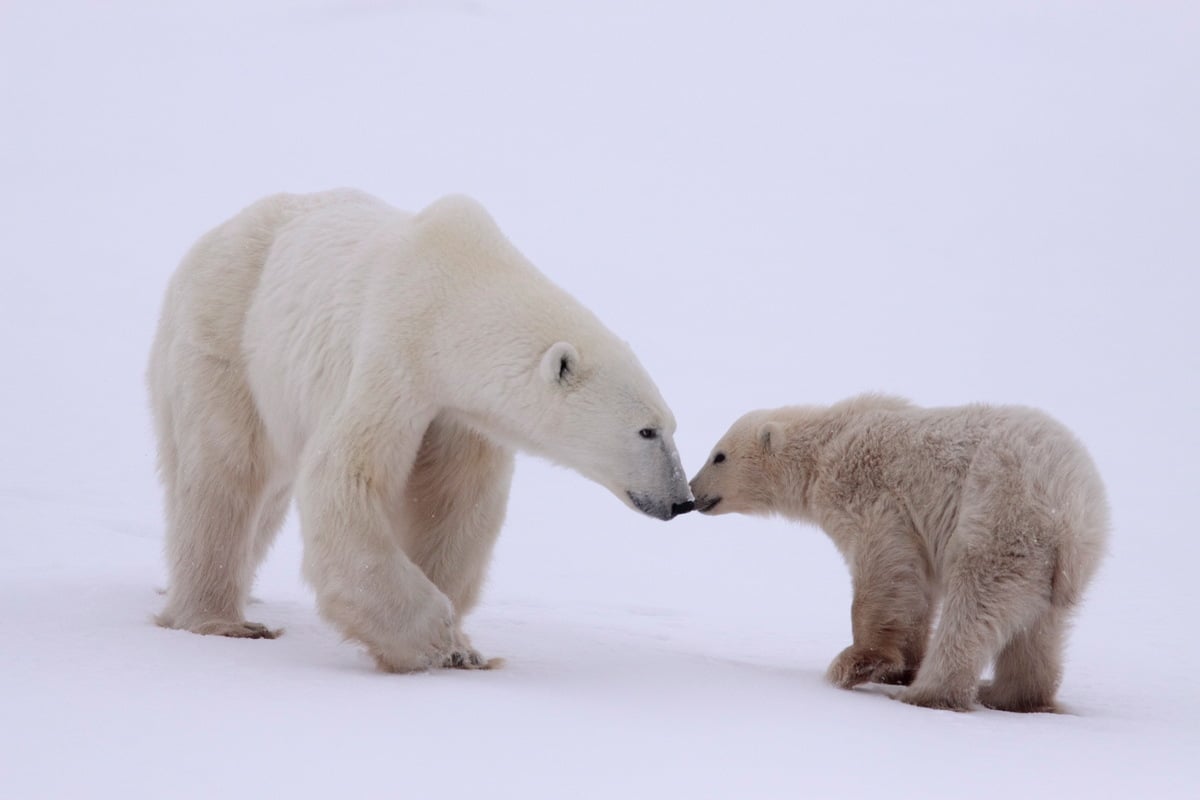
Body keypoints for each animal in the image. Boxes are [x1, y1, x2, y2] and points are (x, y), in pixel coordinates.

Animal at [147, 190, 696, 671]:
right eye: (648, 431)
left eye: (672, 426)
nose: (681, 500)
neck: (457, 291)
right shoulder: (394, 356)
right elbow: (347, 477)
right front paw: (433, 637)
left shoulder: (460, 411)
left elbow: (454, 502)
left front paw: (463, 649)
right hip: (227, 333)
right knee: (225, 473)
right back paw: (220, 619)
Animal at [691, 395, 1108, 714]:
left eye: (719, 456)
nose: (693, 491)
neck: (828, 443)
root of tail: (1071, 506)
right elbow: (916, 590)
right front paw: (901, 666)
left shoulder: (870, 494)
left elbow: (884, 573)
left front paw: (860, 664)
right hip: (1055, 564)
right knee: (1039, 629)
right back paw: (1010, 696)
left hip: (1001, 521)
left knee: (972, 608)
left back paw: (927, 693)